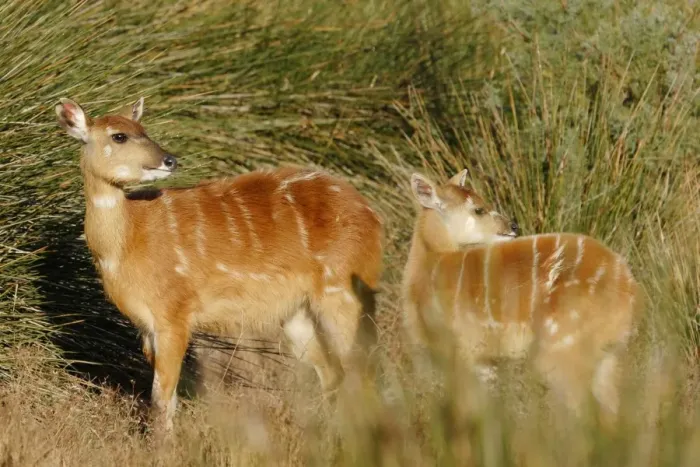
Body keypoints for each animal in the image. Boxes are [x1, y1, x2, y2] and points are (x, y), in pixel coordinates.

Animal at [55, 97, 384, 432]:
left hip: (343, 293)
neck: (128, 243)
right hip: (298, 314)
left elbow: (161, 398)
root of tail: (374, 218)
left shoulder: (175, 314)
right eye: (119, 135)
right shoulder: (147, 327)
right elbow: (167, 399)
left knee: (363, 370)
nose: (169, 160)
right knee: (333, 373)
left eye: (143, 130)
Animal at [402, 169, 641, 420]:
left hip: (562, 348)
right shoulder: (482, 359)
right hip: (608, 354)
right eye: (479, 209)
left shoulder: (461, 348)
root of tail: (630, 288)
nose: (514, 226)